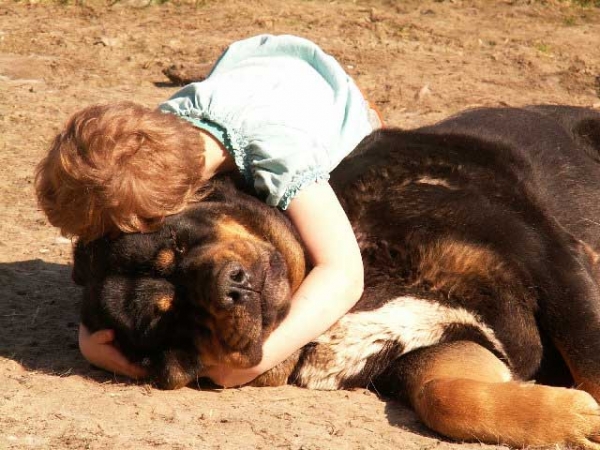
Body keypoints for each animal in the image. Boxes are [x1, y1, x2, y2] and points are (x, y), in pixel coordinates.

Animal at [74, 104, 600, 446]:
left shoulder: (552, 263)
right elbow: (447, 396)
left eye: (180, 242)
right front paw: (574, 420)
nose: (229, 287)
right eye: (170, 319)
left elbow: (589, 358)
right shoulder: (435, 350)